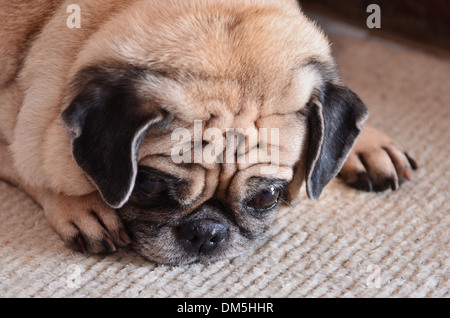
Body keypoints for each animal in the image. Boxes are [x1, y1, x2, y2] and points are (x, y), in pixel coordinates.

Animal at [0, 0, 416, 264]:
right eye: (149, 186)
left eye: (267, 197)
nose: (206, 232)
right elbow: (27, 162)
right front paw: (82, 205)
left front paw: (366, 141)